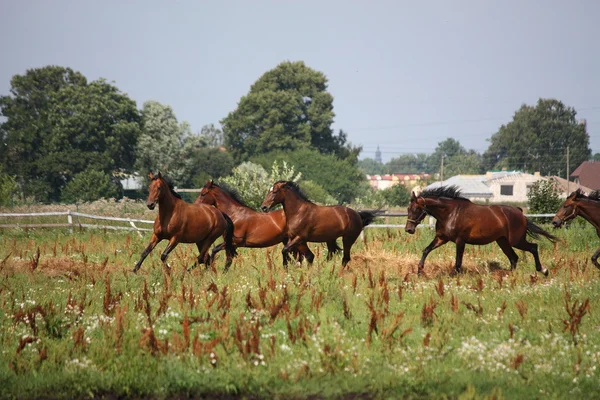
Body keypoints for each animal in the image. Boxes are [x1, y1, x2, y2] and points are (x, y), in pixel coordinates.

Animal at [404, 186, 556, 276]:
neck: (450, 213)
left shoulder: (460, 241)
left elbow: (458, 262)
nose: (408, 229)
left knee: (533, 248)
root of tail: (520, 212)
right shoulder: (442, 238)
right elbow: (426, 250)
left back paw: (543, 270)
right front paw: (419, 271)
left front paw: (455, 277)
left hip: (516, 240)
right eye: (408, 209)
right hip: (503, 241)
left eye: (416, 209)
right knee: (514, 257)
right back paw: (508, 276)